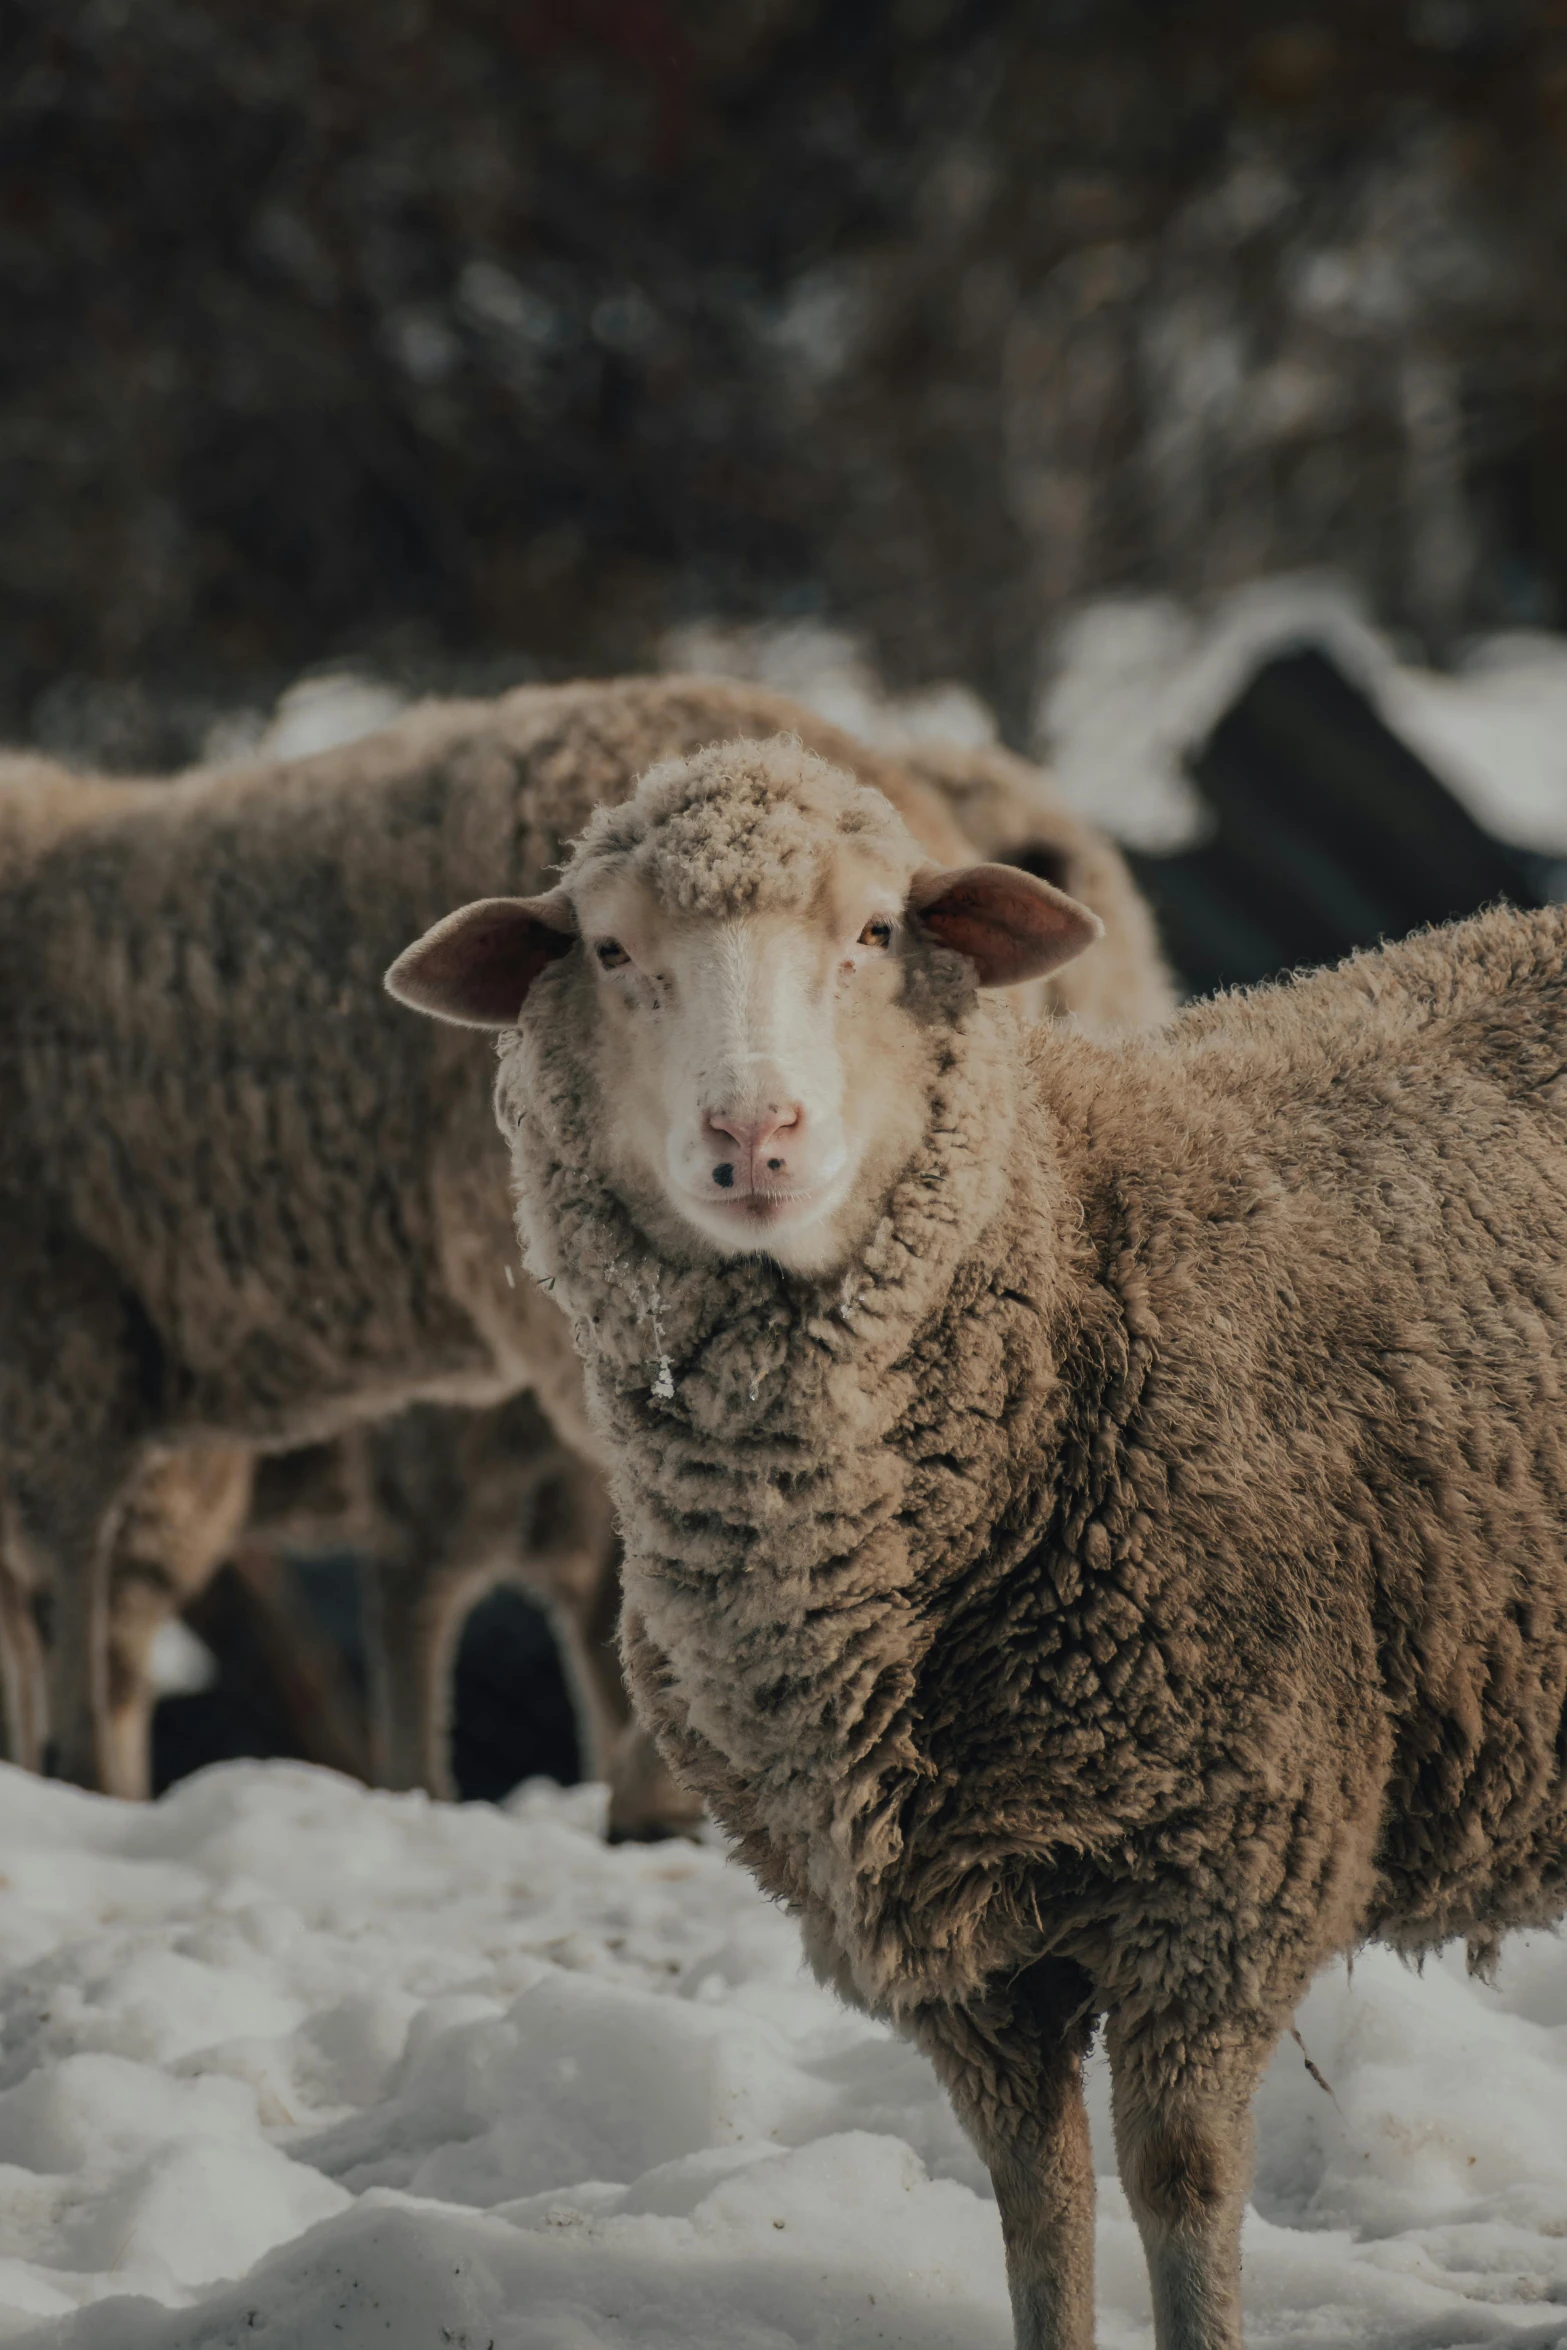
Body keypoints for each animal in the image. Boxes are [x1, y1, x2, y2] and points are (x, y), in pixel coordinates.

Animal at [389, 737, 1567, 2350]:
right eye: (611, 951)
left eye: (878, 930)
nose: (753, 1138)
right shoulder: (954, 1948)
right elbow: (1036, 2198)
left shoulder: (1222, 1875)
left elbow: (1180, 2185)